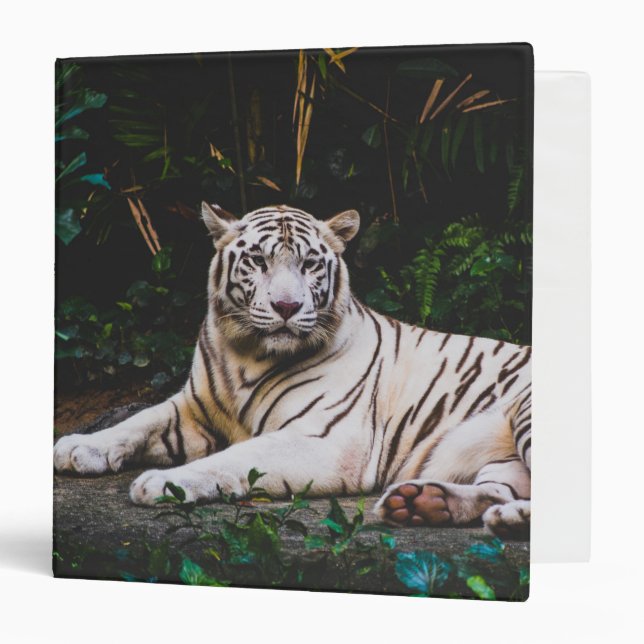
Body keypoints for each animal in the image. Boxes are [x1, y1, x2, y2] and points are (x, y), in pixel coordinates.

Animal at [54, 203, 531, 538]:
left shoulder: (326, 440)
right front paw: (78, 447)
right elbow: (138, 421)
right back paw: (427, 504)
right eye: (258, 261)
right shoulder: (193, 408)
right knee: (500, 489)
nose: (287, 306)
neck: (246, 354)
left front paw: (163, 483)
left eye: (309, 264)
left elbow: (234, 458)